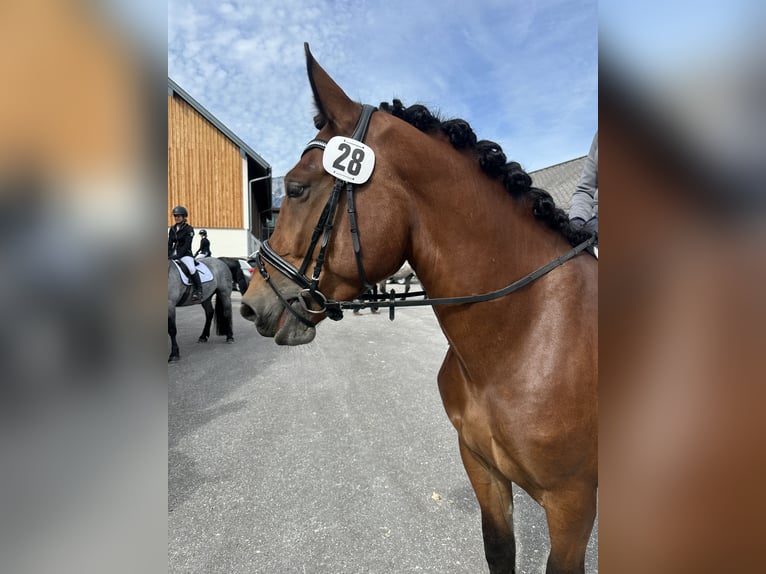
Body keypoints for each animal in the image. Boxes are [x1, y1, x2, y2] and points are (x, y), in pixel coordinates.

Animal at [241, 44, 597, 574]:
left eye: (299, 188)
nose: (251, 303)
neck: (526, 335)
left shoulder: (572, 505)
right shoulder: (482, 467)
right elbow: (499, 551)